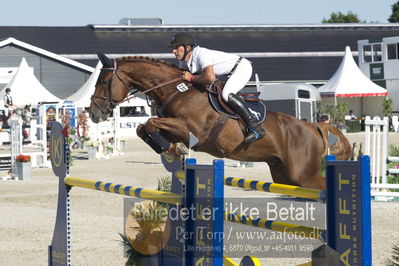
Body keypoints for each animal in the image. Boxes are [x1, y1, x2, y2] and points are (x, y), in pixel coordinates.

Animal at [89, 53, 352, 189]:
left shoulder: (192, 130)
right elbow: (144, 127)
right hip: (284, 174)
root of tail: (313, 126)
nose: (93, 113)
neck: (178, 91)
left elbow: (151, 122)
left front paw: (171, 149)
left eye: (104, 81)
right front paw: (171, 150)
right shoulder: (174, 127)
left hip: (303, 175)